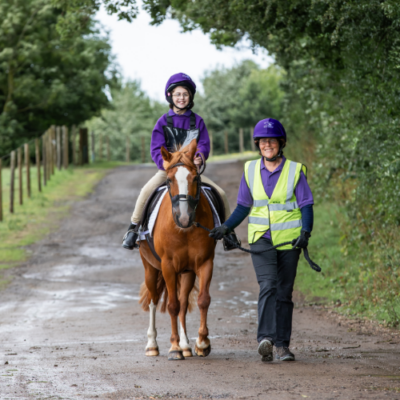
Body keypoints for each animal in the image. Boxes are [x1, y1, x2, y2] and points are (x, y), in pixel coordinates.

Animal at [139, 139, 217, 360]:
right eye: (170, 179)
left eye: (195, 178)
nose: (184, 217)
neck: (184, 230)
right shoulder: (168, 267)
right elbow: (171, 306)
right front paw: (174, 348)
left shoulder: (205, 263)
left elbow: (202, 300)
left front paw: (202, 343)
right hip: (151, 269)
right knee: (154, 301)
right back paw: (152, 345)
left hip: (187, 272)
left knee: (183, 304)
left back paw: (186, 346)